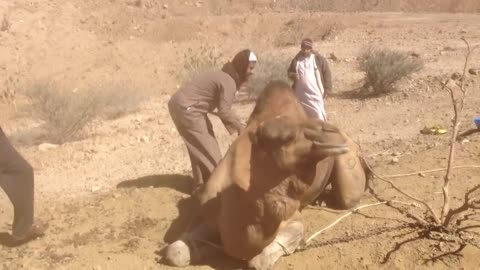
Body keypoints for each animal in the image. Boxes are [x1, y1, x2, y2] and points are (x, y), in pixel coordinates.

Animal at [163, 80, 370, 270]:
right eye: (287, 137)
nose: (331, 131)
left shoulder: (293, 220)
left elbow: (258, 262)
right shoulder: (207, 213)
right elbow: (175, 252)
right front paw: (205, 249)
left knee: (347, 198)